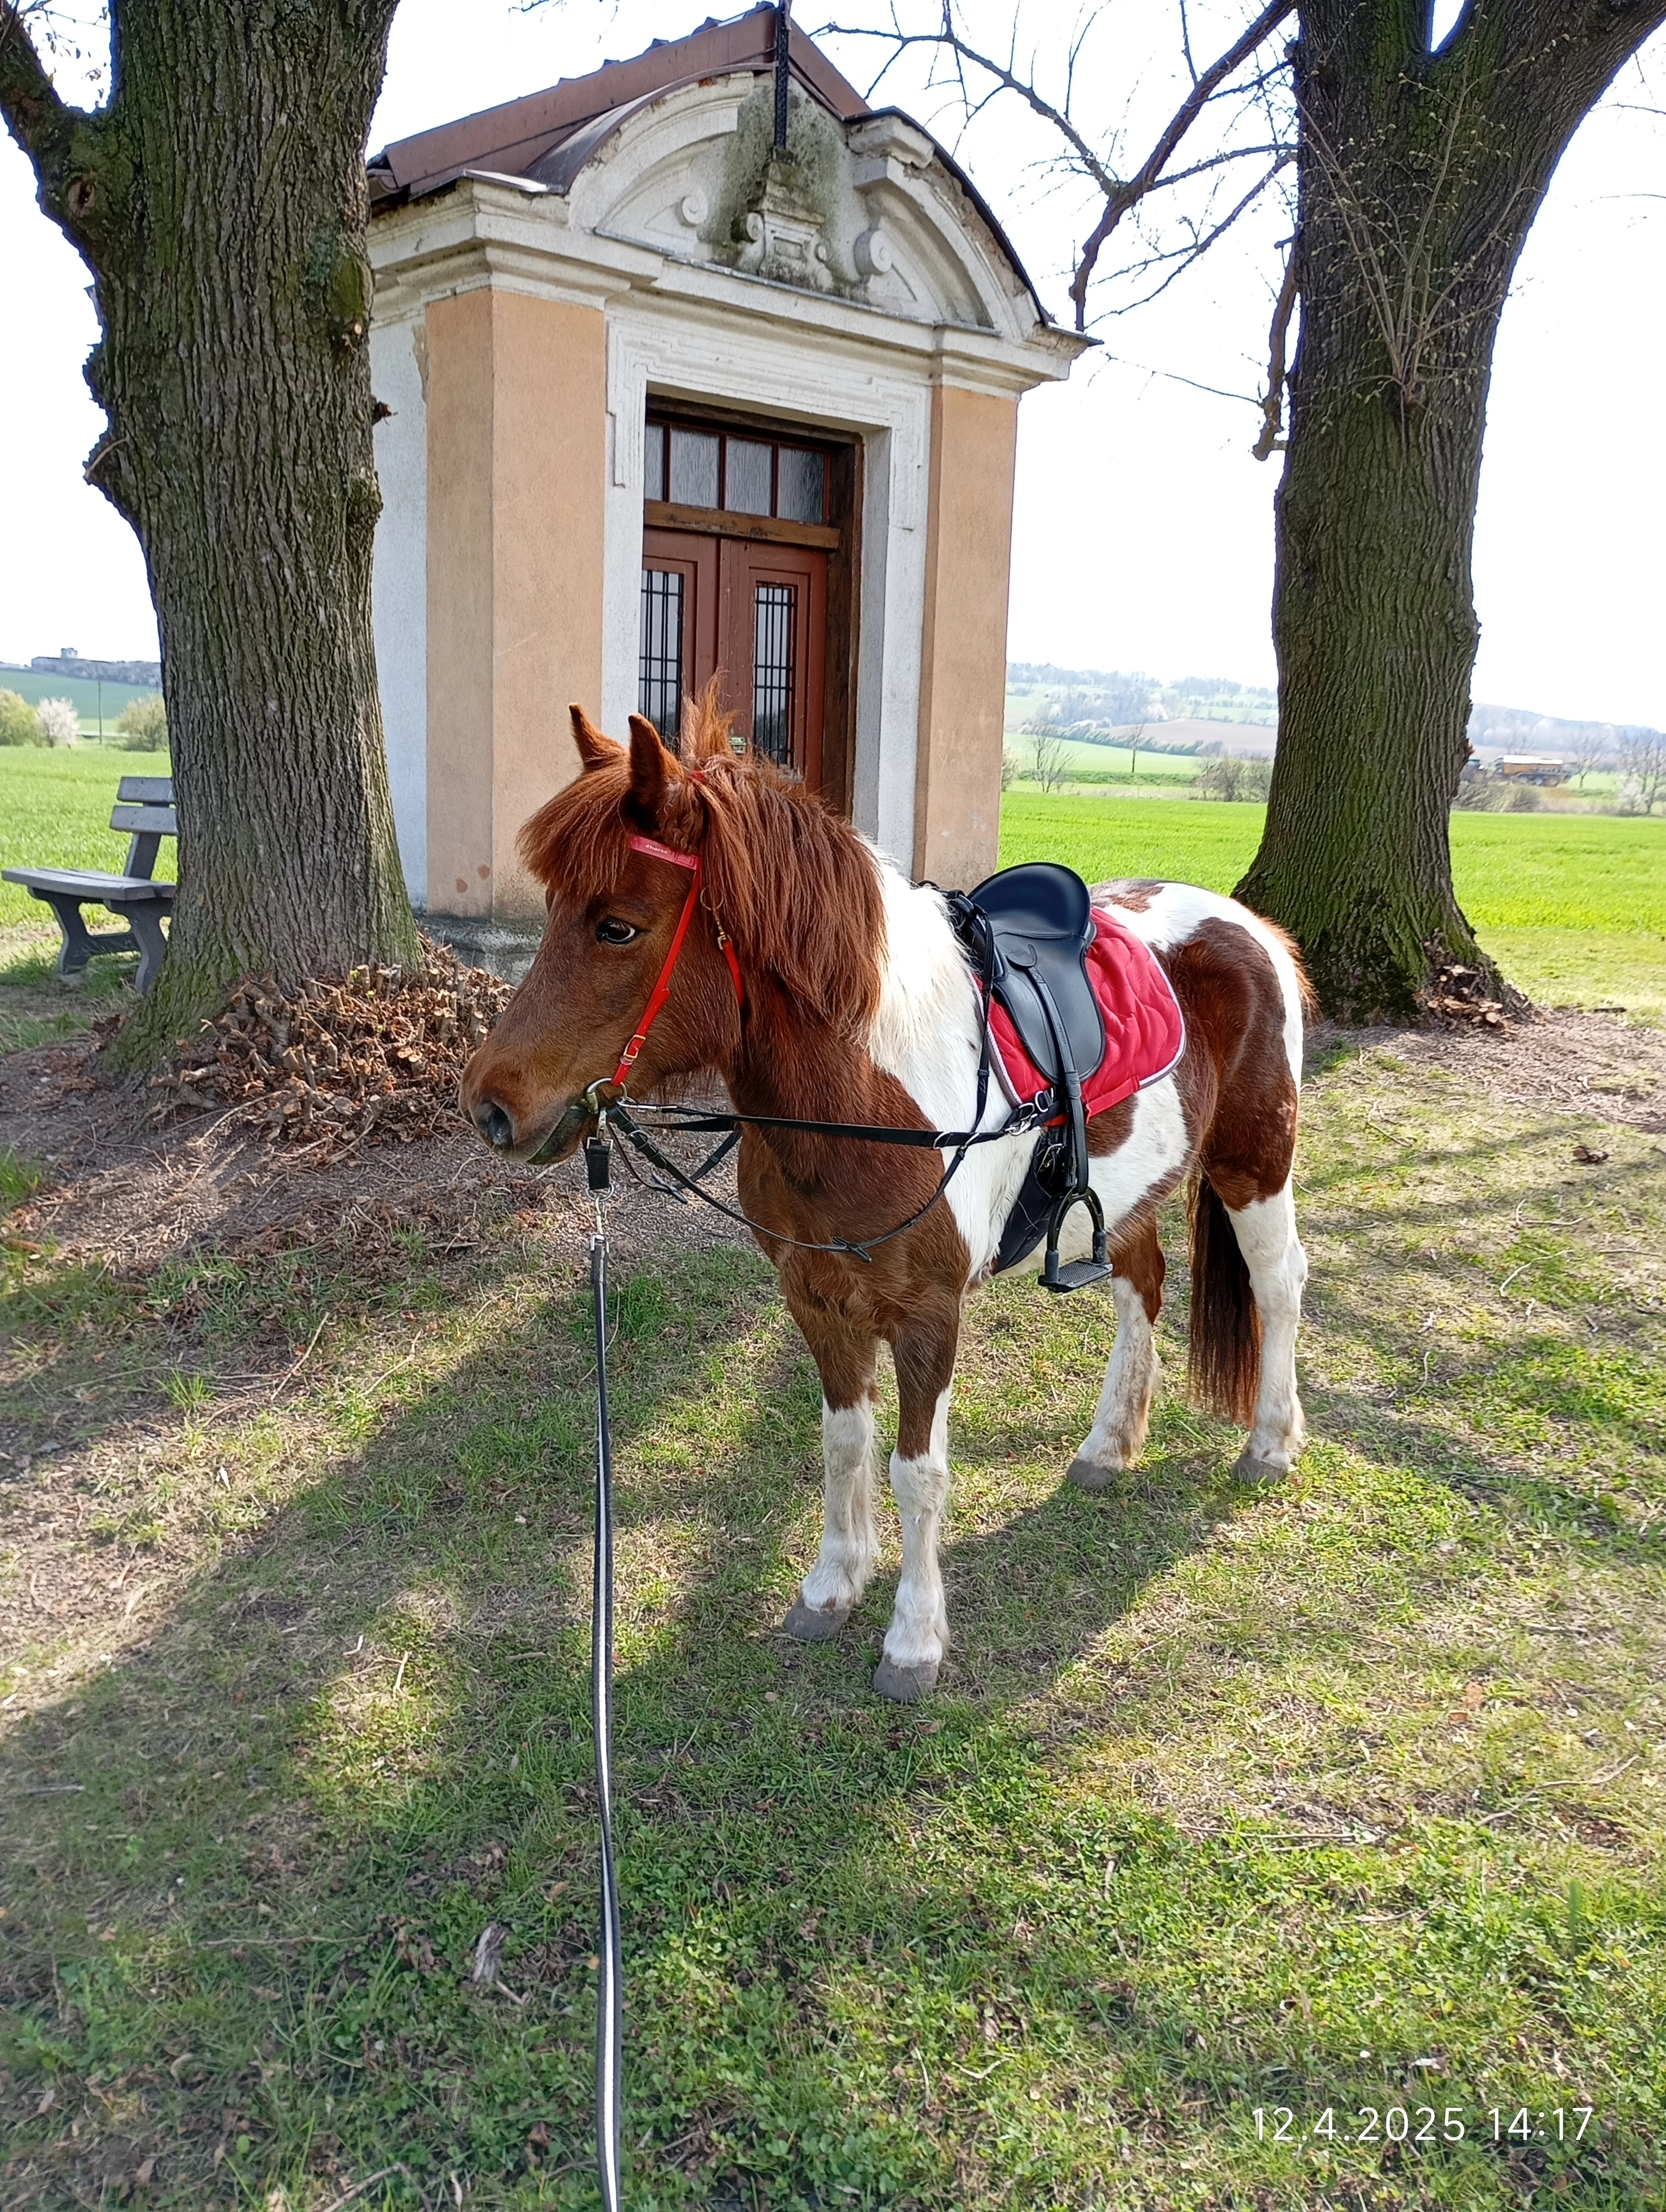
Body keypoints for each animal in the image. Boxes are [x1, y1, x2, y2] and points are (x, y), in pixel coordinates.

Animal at [462, 697, 1311, 1702]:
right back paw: (1110, 1445)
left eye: (618, 928)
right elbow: (842, 1442)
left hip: (1255, 1165)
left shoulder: (926, 1315)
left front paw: (913, 1639)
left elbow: (918, 1471)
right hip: (1127, 1191)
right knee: (1141, 1282)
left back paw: (1269, 1443)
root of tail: (1247, 923)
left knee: (1278, 1284)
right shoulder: (817, 1298)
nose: (488, 1105)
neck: (863, 1096)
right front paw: (833, 1585)